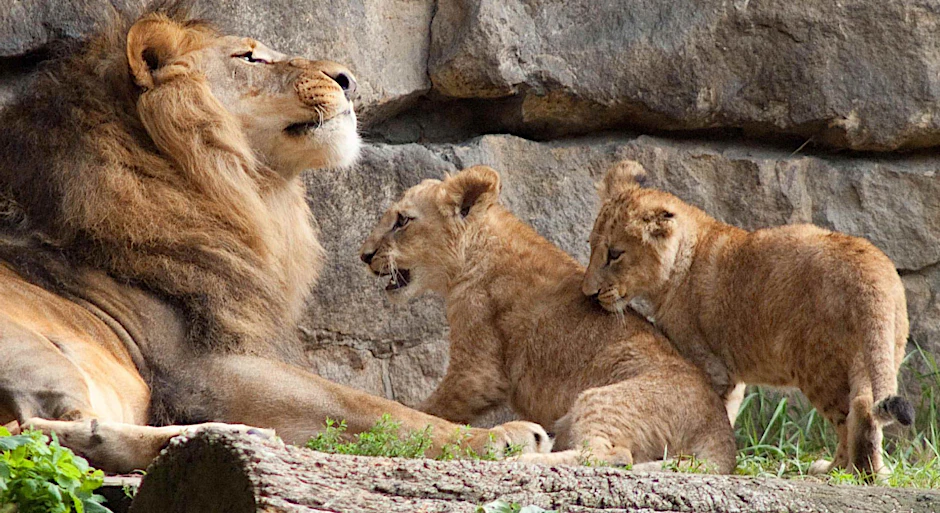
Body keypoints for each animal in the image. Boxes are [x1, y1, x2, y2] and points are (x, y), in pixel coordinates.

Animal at [0, 7, 549, 473]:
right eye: (248, 57)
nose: (349, 80)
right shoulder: (201, 368)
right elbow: (370, 404)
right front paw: (502, 436)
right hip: (37, 353)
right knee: (37, 434)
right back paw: (232, 435)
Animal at [358, 166, 737, 473]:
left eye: (402, 220)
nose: (364, 255)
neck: (476, 250)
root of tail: (719, 430)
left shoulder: (478, 365)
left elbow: (435, 407)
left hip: (601, 399)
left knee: (613, 455)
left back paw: (524, 458)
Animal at [582, 160, 914, 477]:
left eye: (615, 254)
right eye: (591, 246)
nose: (589, 292)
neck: (681, 263)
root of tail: (870, 268)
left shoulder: (709, 365)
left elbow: (713, 411)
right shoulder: (731, 373)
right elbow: (727, 411)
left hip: (819, 365)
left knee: (853, 412)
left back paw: (840, 472)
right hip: (880, 351)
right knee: (866, 403)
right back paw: (869, 473)